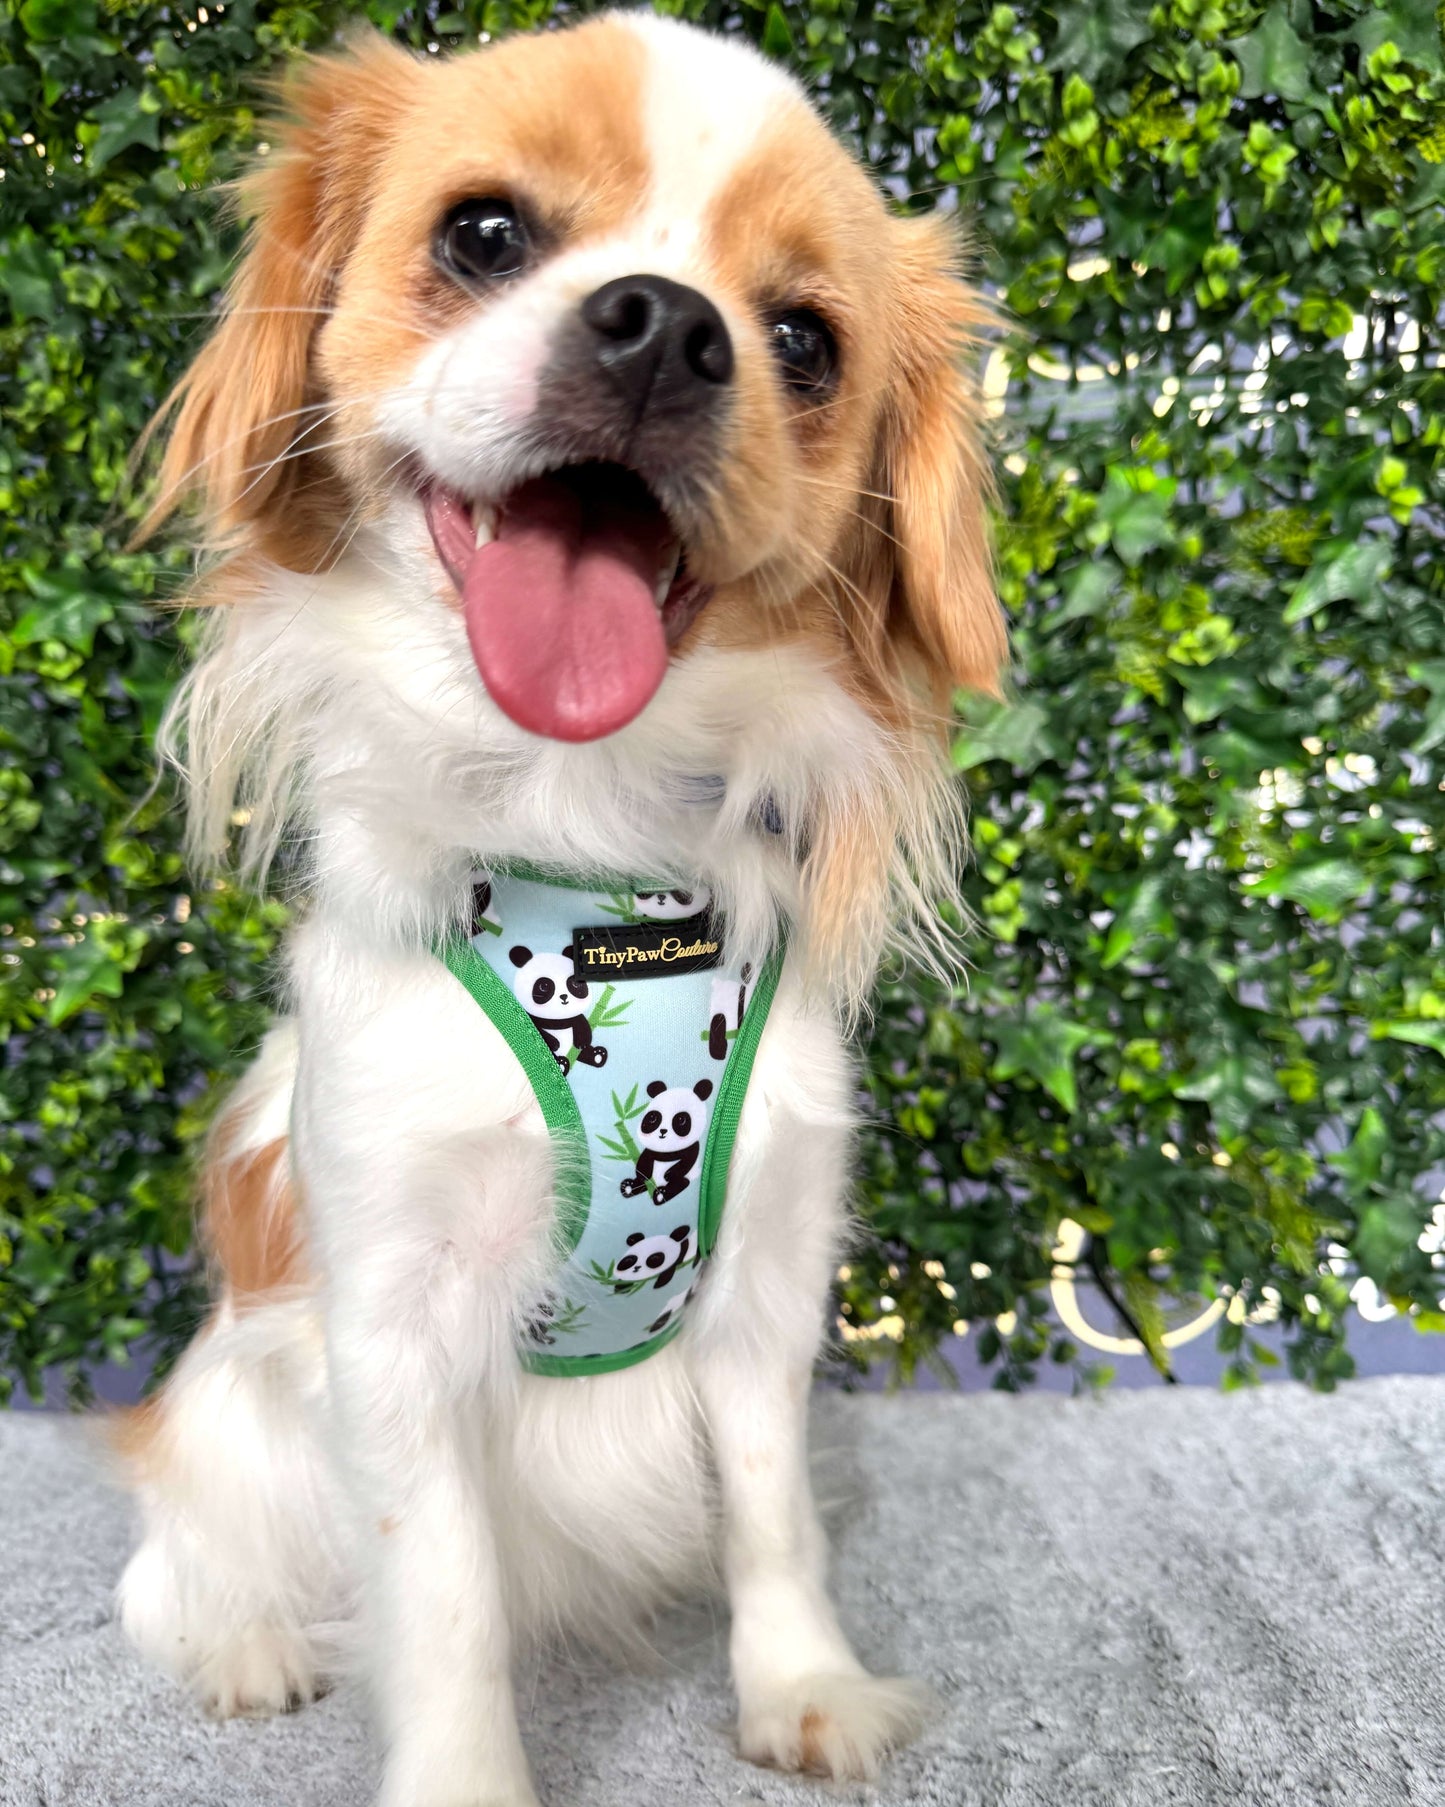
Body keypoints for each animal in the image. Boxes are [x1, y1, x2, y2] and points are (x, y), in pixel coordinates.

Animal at [508, 943, 608, 1073]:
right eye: (544, 986)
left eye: (575, 983)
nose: (564, 996)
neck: (557, 1020)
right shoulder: (534, 1020)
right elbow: (542, 1033)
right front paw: (555, 1043)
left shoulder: (574, 1018)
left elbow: (582, 1025)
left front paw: (582, 1042)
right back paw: (562, 1063)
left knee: (584, 1053)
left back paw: (597, 1055)